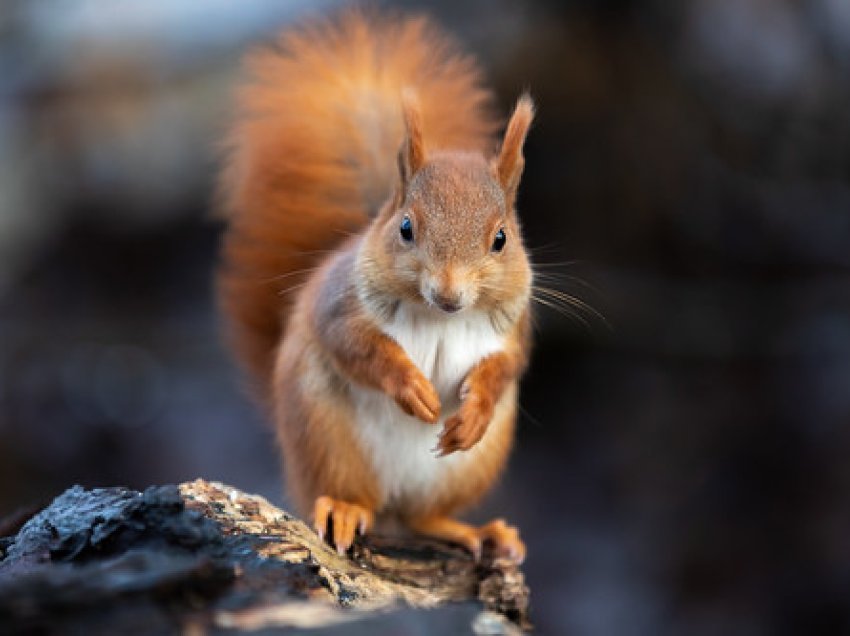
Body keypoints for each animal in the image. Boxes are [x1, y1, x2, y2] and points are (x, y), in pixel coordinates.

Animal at [219, 12, 532, 564]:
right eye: (406, 228)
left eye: (501, 239)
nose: (449, 295)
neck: (436, 318)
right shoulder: (339, 306)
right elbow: (356, 345)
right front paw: (413, 387)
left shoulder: (514, 328)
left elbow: (507, 366)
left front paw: (473, 409)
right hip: (328, 439)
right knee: (355, 497)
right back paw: (345, 510)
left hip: (466, 467)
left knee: (421, 517)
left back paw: (478, 532)